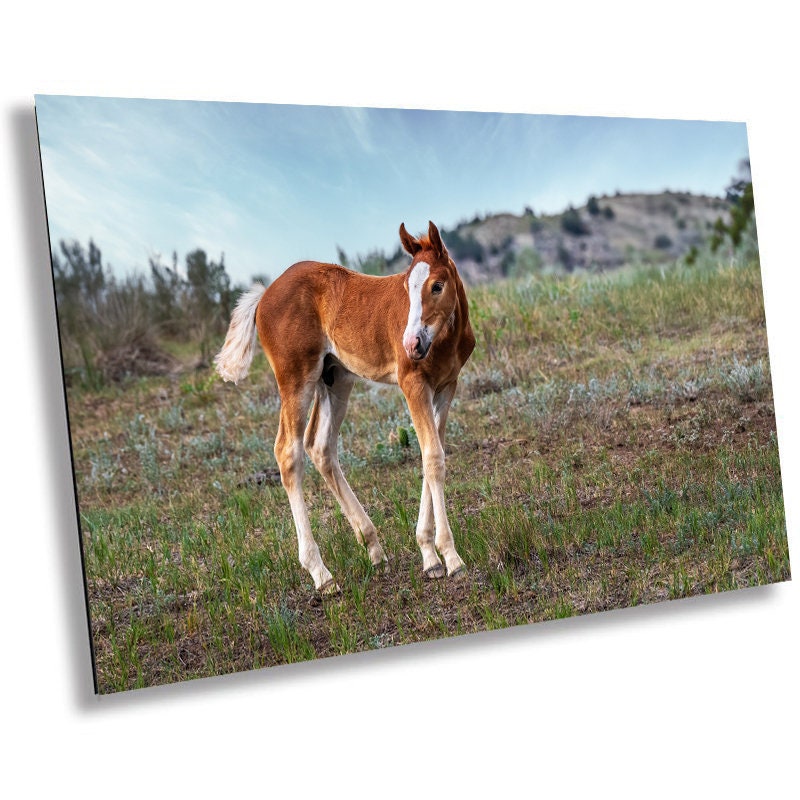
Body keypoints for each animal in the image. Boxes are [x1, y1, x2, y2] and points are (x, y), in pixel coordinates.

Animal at [214, 221, 475, 594]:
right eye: (406, 288)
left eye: (437, 286)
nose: (411, 344)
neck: (445, 340)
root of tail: (264, 296)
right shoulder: (412, 384)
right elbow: (433, 458)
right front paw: (449, 558)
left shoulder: (446, 387)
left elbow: (432, 455)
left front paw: (429, 556)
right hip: (296, 378)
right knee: (288, 451)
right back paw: (321, 574)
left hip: (335, 378)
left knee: (320, 446)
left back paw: (374, 548)